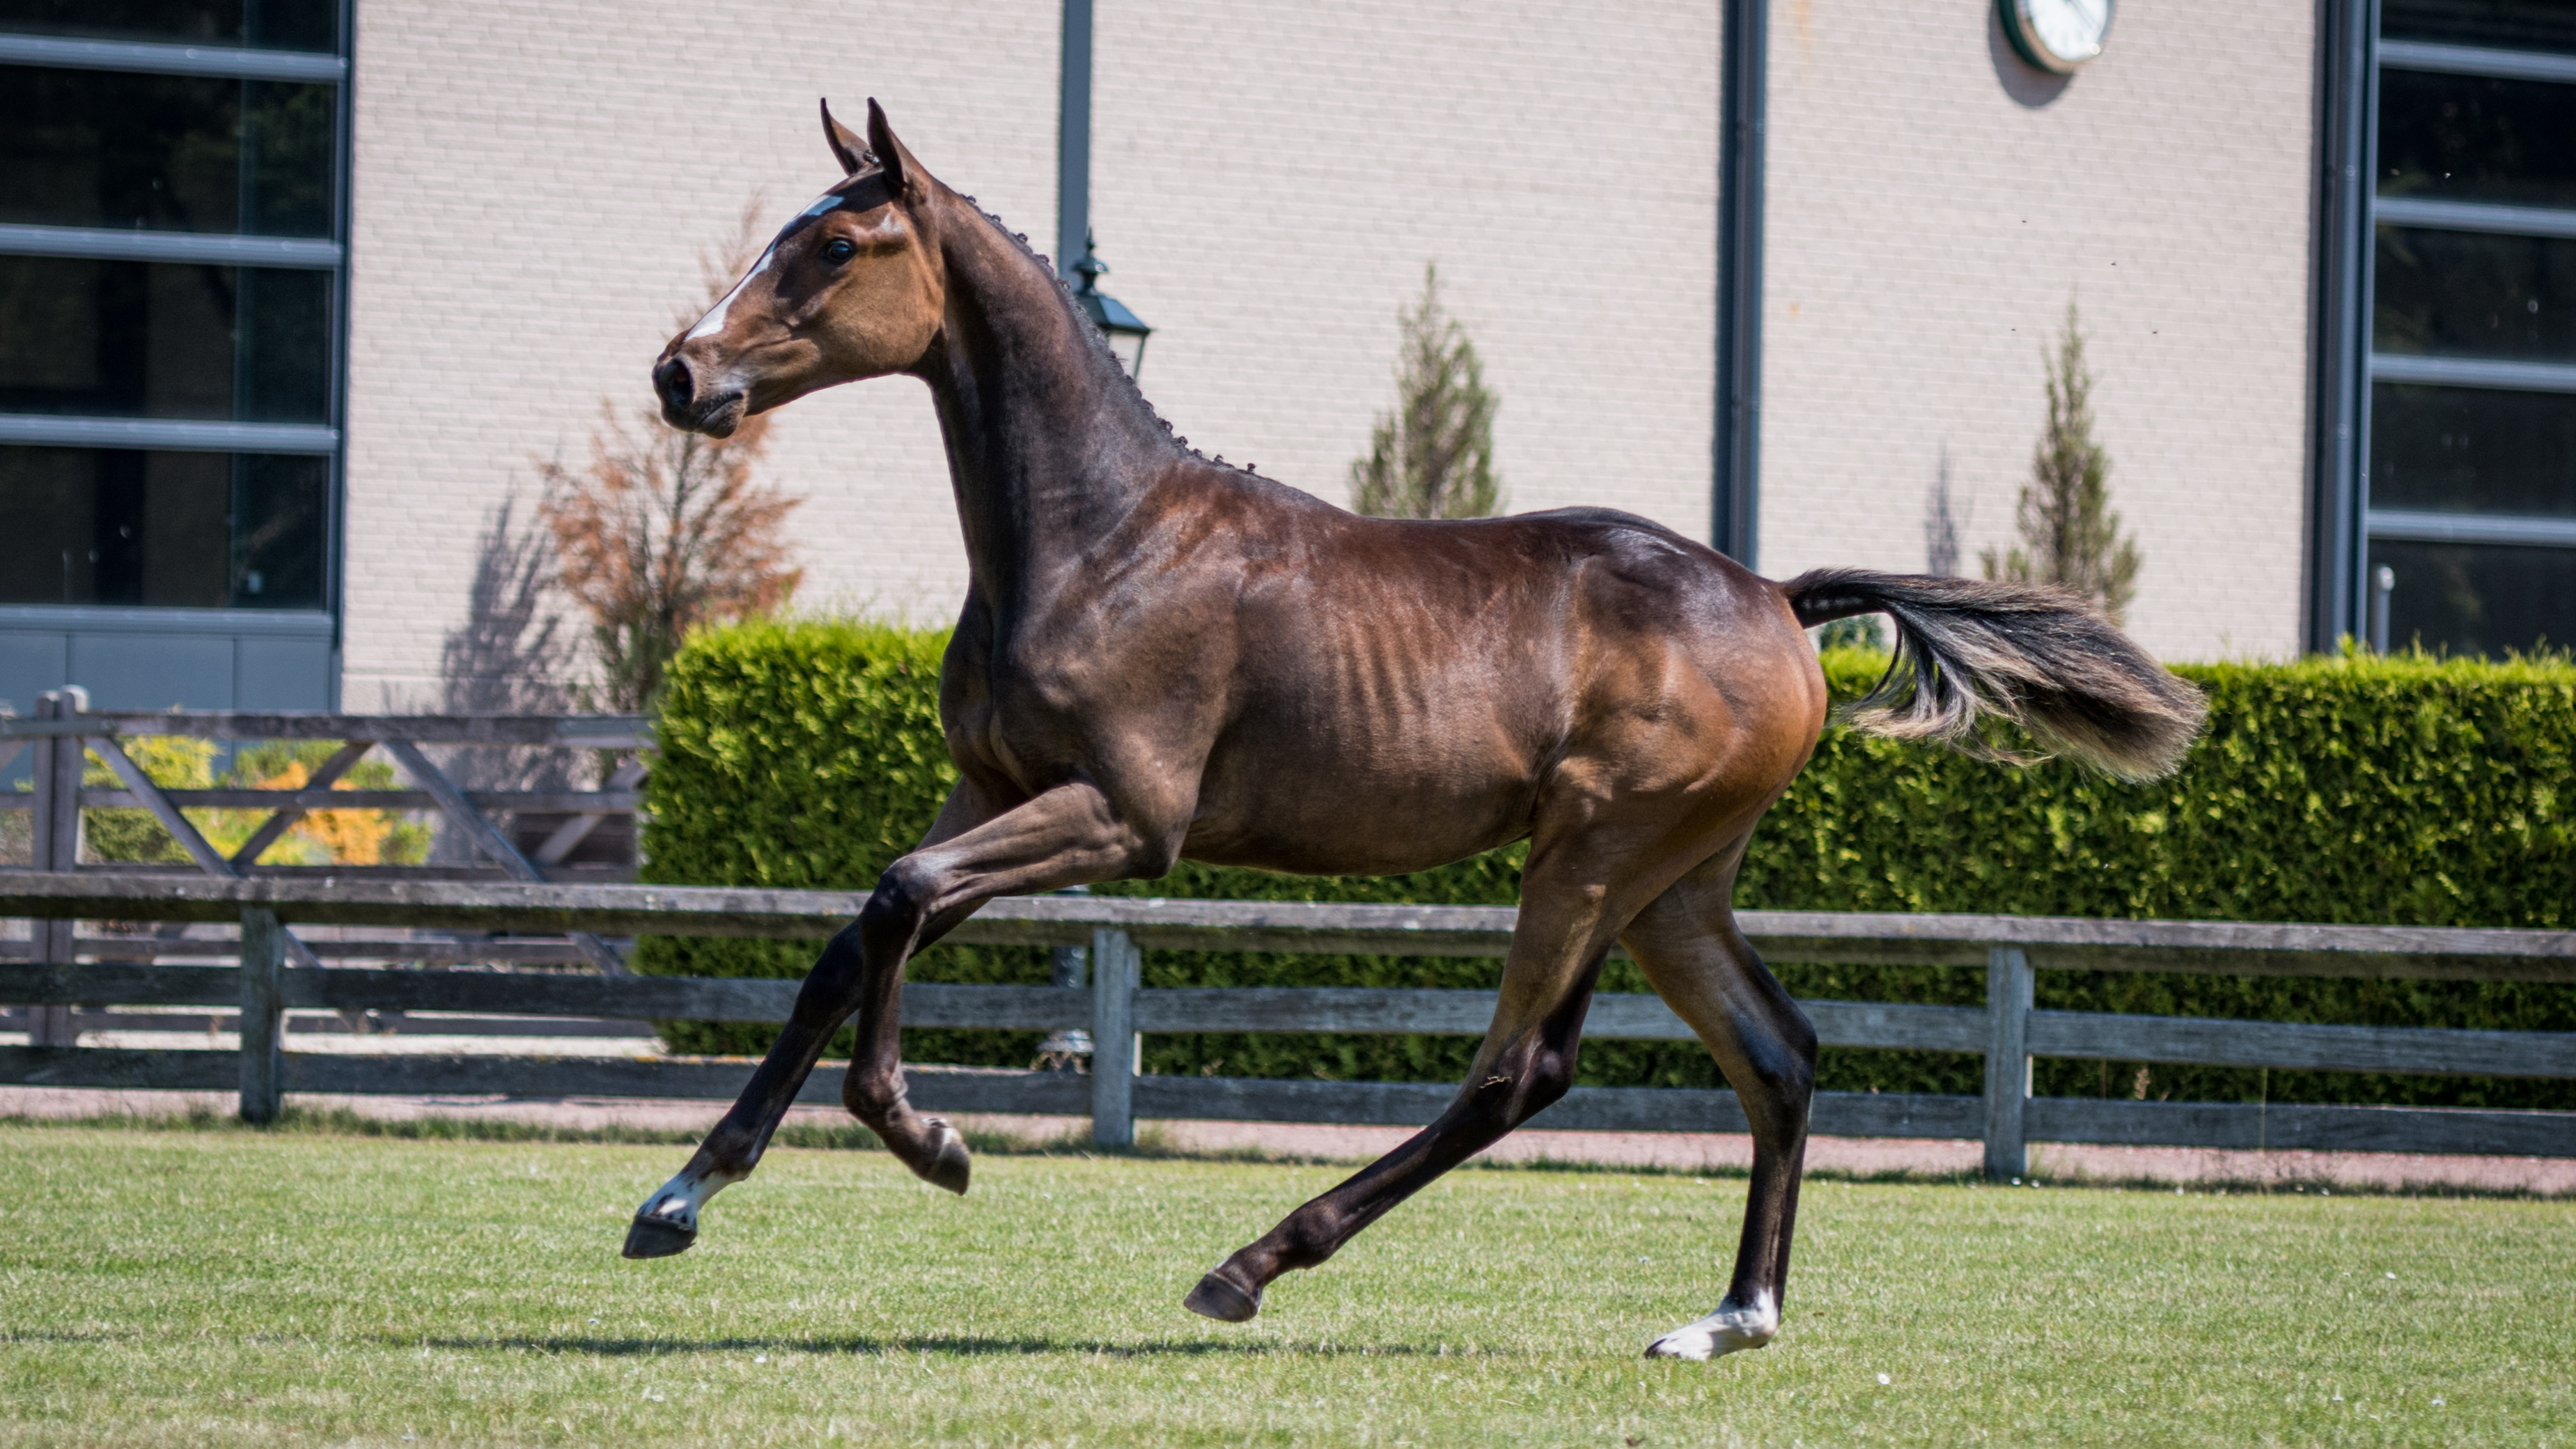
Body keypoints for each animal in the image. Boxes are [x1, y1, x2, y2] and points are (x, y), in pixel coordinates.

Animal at [623, 98, 2205, 1360]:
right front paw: (681, 1194)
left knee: (1521, 1070)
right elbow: (854, 936)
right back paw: (1727, 1320)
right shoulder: (989, 787)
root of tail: (1774, 595)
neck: (1099, 537)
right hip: (1672, 885)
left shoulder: (1124, 819)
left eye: (837, 246)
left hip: (1590, 851)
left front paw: (928, 1138)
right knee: (1780, 1055)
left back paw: (1252, 1262)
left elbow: (895, 902)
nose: (679, 374)